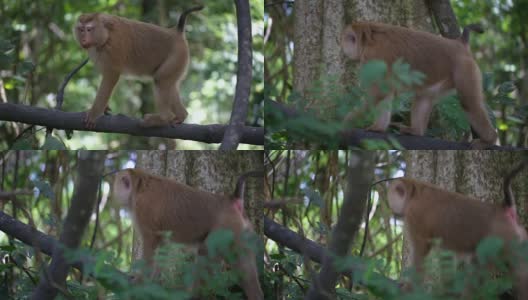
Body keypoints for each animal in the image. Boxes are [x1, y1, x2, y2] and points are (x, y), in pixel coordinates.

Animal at [71, 5, 201, 127]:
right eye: (81, 29)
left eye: (89, 29)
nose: (83, 39)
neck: (106, 35)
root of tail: (176, 33)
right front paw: (105, 108)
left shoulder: (114, 47)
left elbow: (111, 76)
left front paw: (95, 113)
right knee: (168, 83)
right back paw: (181, 115)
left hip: (177, 56)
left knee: (161, 81)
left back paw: (163, 118)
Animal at [112, 169, 264, 300]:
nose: (113, 193)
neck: (139, 187)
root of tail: (232, 200)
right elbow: (163, 246)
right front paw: (153, 282)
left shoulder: (143, 209)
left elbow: (151, 241)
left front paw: (140, 281)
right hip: (241, 230)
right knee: (244, 264)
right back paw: (256, 295)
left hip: (226, 228)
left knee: (206, 253)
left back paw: (193, 295)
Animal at [340, 21, 498, 148]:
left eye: (346, 39)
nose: (343, 47)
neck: (367, 38)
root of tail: (460, 44)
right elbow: (385, 92)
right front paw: (378, 128)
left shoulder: (373, 56)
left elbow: (378, 92)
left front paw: (346, 122)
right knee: (424, 96)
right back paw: (416, 131)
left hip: (465, 68)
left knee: (469, 103)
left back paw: (489, 140)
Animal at [388, 171, 528, 298]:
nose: (393, 211)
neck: (415, 192)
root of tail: (504, 211)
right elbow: (446, 254)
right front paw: (447, 291)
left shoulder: (414, 215)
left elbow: (421, 251)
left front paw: (409, 288)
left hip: (502, 238)